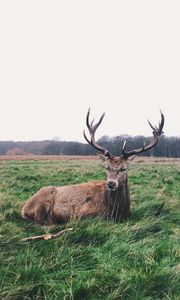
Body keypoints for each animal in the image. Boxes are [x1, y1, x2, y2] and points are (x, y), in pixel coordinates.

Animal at [21, 109, 165, 224]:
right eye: (106, 167)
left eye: (124, 168)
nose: (111, 183)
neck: (117, 211)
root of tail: (24, 209)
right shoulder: (83, 214)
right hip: (43, 201)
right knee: (39, 222)